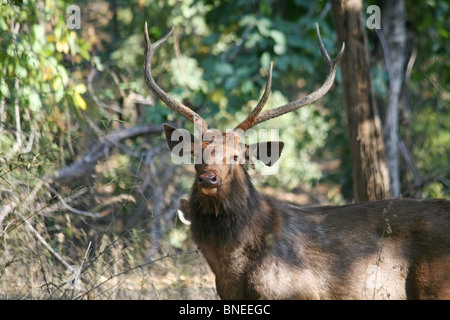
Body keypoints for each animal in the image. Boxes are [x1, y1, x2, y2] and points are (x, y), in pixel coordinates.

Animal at [144, 23, 450, 300]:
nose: (208, 177)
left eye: (238, 157)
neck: (233, 270)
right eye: (196, 155)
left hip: (436, 287)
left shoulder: (301, 293)